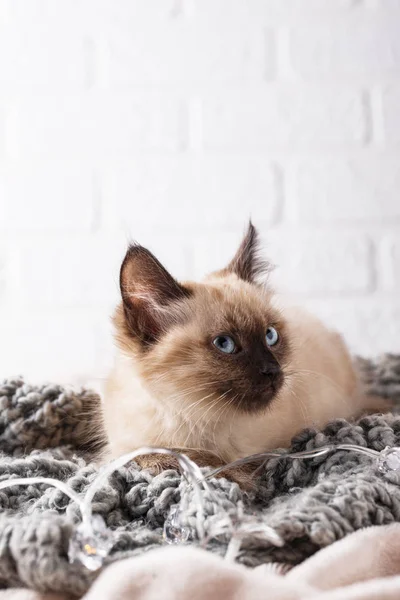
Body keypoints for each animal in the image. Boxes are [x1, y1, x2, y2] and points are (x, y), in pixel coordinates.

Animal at [101, 223, 390, 480]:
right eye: (225, 344)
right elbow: (160, 457)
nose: (272, 371)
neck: (197, 420)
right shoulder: (126, 451)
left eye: (270, 336)